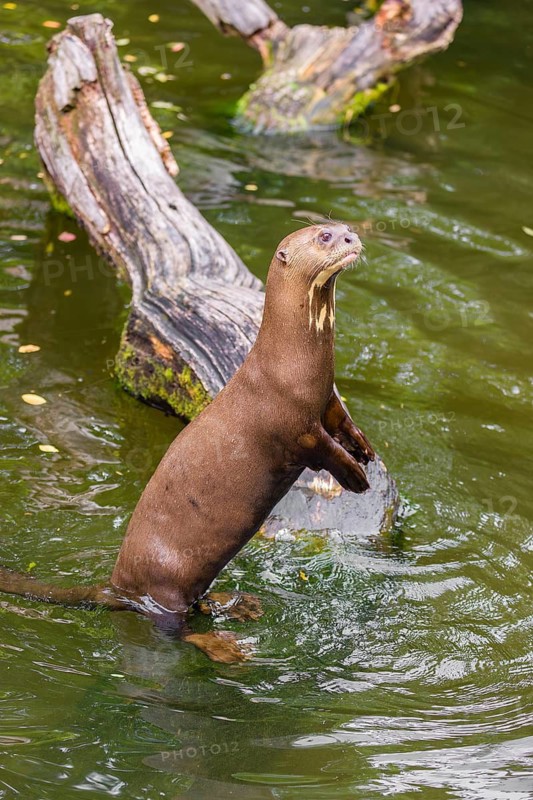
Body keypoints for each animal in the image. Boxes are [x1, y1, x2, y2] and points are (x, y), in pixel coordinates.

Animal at [0, 223, 374, 661]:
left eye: (344, 228)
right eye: (325, 236)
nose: (352, 237)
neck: (292, 363)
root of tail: (120, 586)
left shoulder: (326, 398)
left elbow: (343, 422)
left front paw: (364, 449)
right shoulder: (294, 424)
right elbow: (325, 451)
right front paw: (355, 477)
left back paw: (237, 605)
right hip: (166, 583)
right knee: (174, 627)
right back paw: (225, 646)